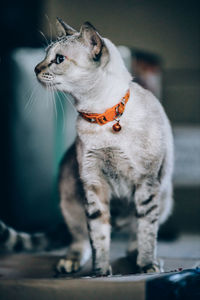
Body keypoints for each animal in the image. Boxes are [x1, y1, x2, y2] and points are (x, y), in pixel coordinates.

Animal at [0, 19, 173, 276]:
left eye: (59, 59)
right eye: (44, 55)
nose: (35, 69)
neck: (101, 118)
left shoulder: (146, 181)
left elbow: (146, 233)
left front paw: (147, 266)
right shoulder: (93, 184)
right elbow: (98, 237)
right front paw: (100, 273)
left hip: (164, 195)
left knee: (134, 233)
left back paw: (139, 257)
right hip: (69, 196)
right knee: (79, 239)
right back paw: (69, 262)